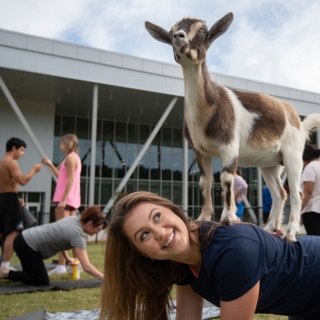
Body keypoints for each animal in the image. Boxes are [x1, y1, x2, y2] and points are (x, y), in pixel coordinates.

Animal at [146, 12, 320, 242]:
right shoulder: (200, 151)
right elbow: (205, 182)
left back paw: (290, 234)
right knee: (279, 193)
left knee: (296, 193)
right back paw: (268, 229)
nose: (178, 37)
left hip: (293, 154)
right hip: (270, 163)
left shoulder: (229, 146)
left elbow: (226, 179)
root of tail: (298, 121)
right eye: (171, 30)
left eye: (202, 30)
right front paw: (202, 218)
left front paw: (228, 218)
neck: (209, 108)